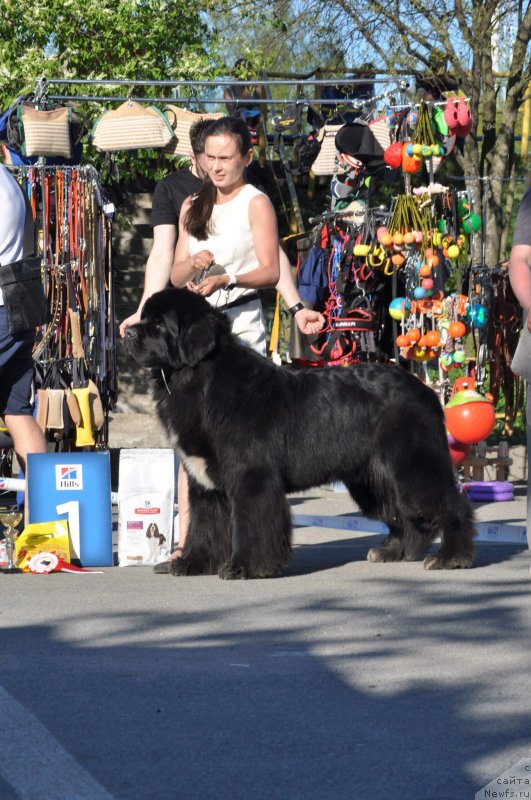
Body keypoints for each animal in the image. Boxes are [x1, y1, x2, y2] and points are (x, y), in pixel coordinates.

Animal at [125, 290, 478, 580]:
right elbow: (203, 525)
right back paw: (393, 551)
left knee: (452, 504)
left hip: (414, 465)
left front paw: (245, 567)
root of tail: (425, 390)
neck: (201, 379)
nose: (127, 331)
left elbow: (251, 524)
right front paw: (192, 563)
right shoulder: (205, 484)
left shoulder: (252, 478)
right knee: (405, 514)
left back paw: (451, 557)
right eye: (143, 318)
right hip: (374, 479)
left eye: (158, 324)